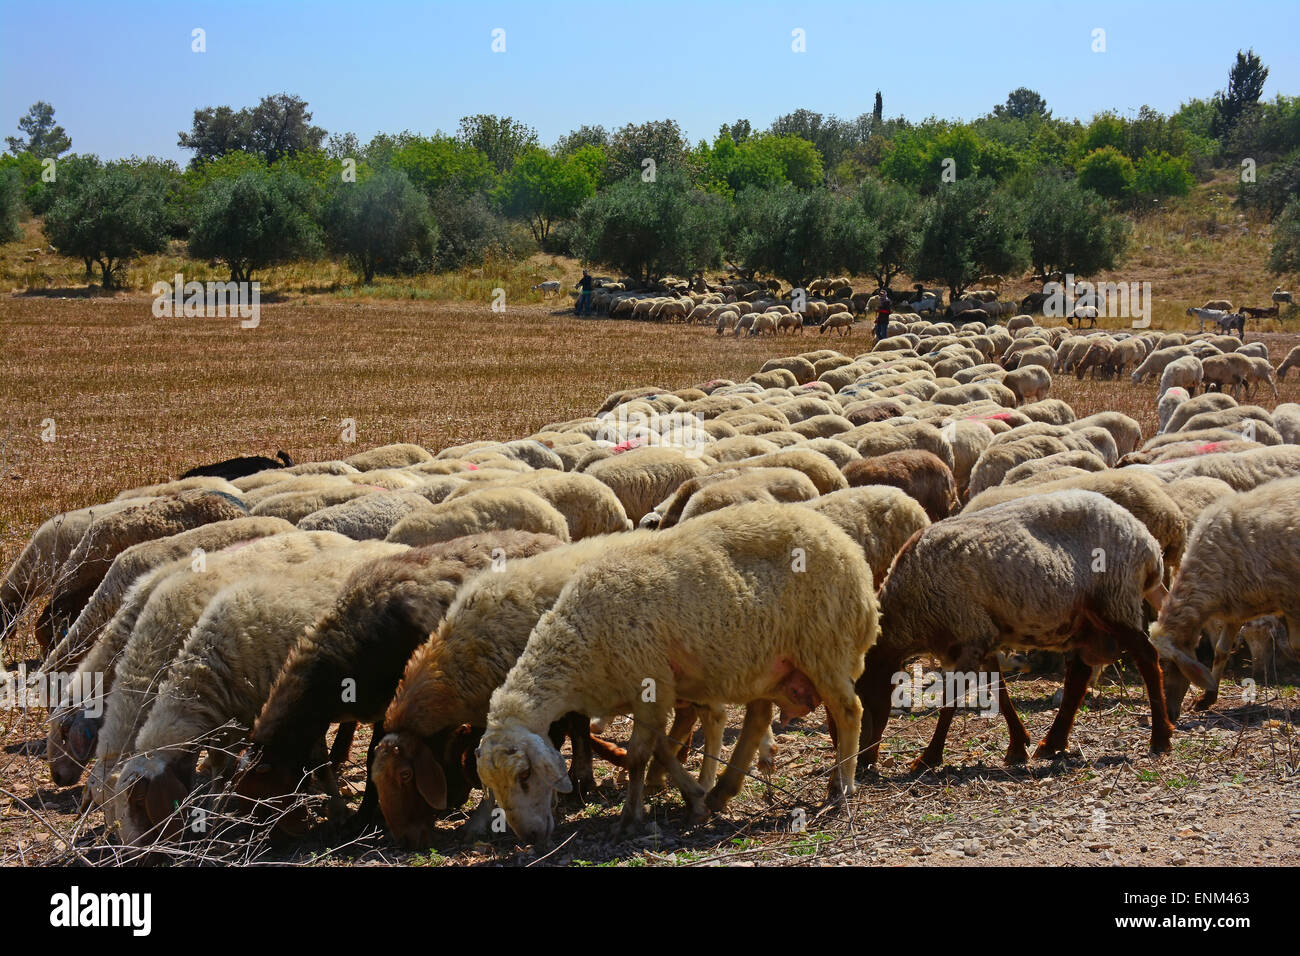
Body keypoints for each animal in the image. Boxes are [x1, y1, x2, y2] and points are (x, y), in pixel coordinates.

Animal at [110, 538, 406, 845]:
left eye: (139, 803)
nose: (134, 852)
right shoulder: (232, 723)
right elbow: (221, 770)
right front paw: (214, 814)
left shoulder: (297, 710)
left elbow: (316, 764)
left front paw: (336, 812)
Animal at [241, 530, 564, 834]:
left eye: (261, 800)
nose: (255, 838)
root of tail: (553, 540)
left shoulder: (392, 705)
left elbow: (372, 759)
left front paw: (364, 818)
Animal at [475, 503, 879, 844]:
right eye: (491, 785)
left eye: (525, 775)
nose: (529, 838)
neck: (582, 639)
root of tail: (849, 550)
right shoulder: (657, 691)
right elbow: (661, 748)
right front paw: (694, 799)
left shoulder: (648, 682)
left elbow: (640, 755)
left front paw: (630, 817)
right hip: (770, 663)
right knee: (759, 716)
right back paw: (724, 790)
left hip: (824, 647)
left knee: (849, 711)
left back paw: (841, 788)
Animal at [857, 490, 1172, 771]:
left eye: (863, 703)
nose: (861, 761)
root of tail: (1149, 545)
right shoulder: (984, 636)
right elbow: (1000, 691)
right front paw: (1019, 746)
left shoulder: (970, 634)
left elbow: (952, 700)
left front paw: (928, 758)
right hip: (1087, 620)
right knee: (1078, 677)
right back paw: (1052, 743)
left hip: (1115, 600)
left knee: (1147, 657)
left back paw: (1161, 737)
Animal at [1151, 477, 1300, 721]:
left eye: (1169, 664)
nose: (1168, 716)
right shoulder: (1238, 607)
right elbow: (1221, 650)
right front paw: (1207, 698)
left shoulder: (1291, 602)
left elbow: (1297, 646)